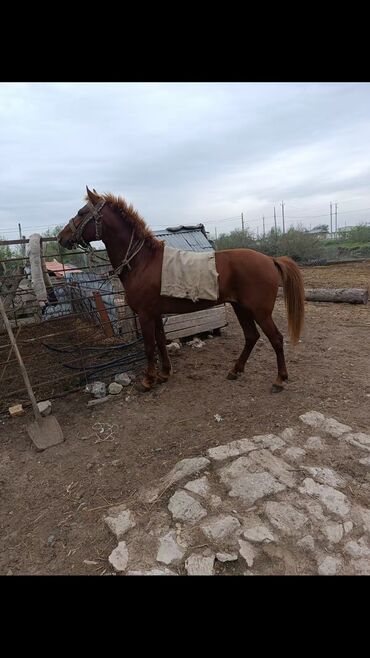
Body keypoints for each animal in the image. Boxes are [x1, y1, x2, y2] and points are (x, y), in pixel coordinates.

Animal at [57, 186, 304, 390]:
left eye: (81, 212)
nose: (61, 237)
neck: (142, 261)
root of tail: (270, 259)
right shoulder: (155, 314)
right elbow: (160, 342)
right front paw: (165, 374)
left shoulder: (145, 315)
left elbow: (149, 346)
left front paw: (148, 380)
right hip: (240, 308)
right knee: (251, 336)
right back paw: (235, 371)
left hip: (259, 311)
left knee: (276, 339)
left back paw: (279, 379)